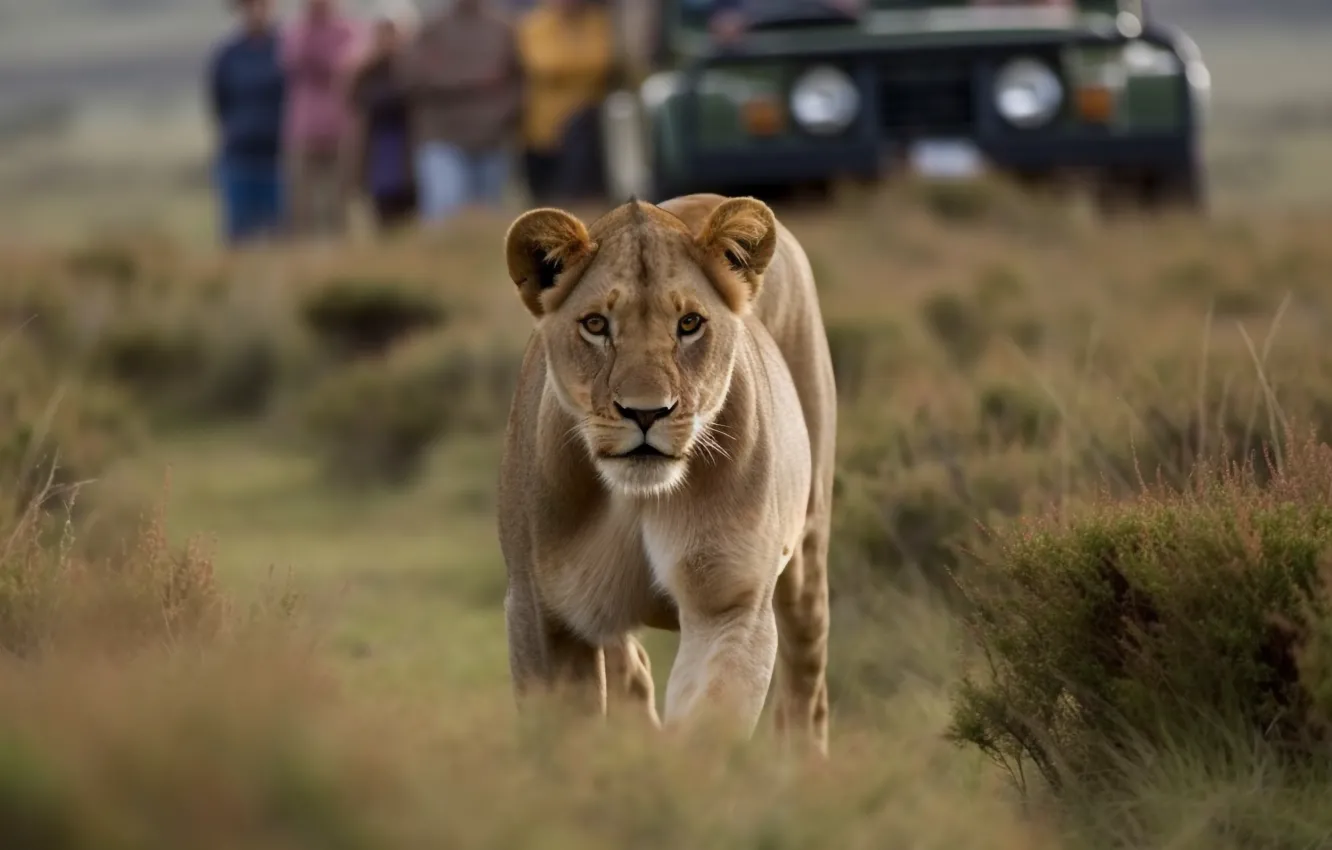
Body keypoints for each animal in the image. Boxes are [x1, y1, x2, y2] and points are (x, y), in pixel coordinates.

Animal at [497, 193, 836, 754]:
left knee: (806, 677)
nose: (646, 412)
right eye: (596, 325)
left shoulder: (730, 604)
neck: (637, 500)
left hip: (808, 547)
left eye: (690, 324)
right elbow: (565, 742)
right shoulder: (539, 612)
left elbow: (705, 728)